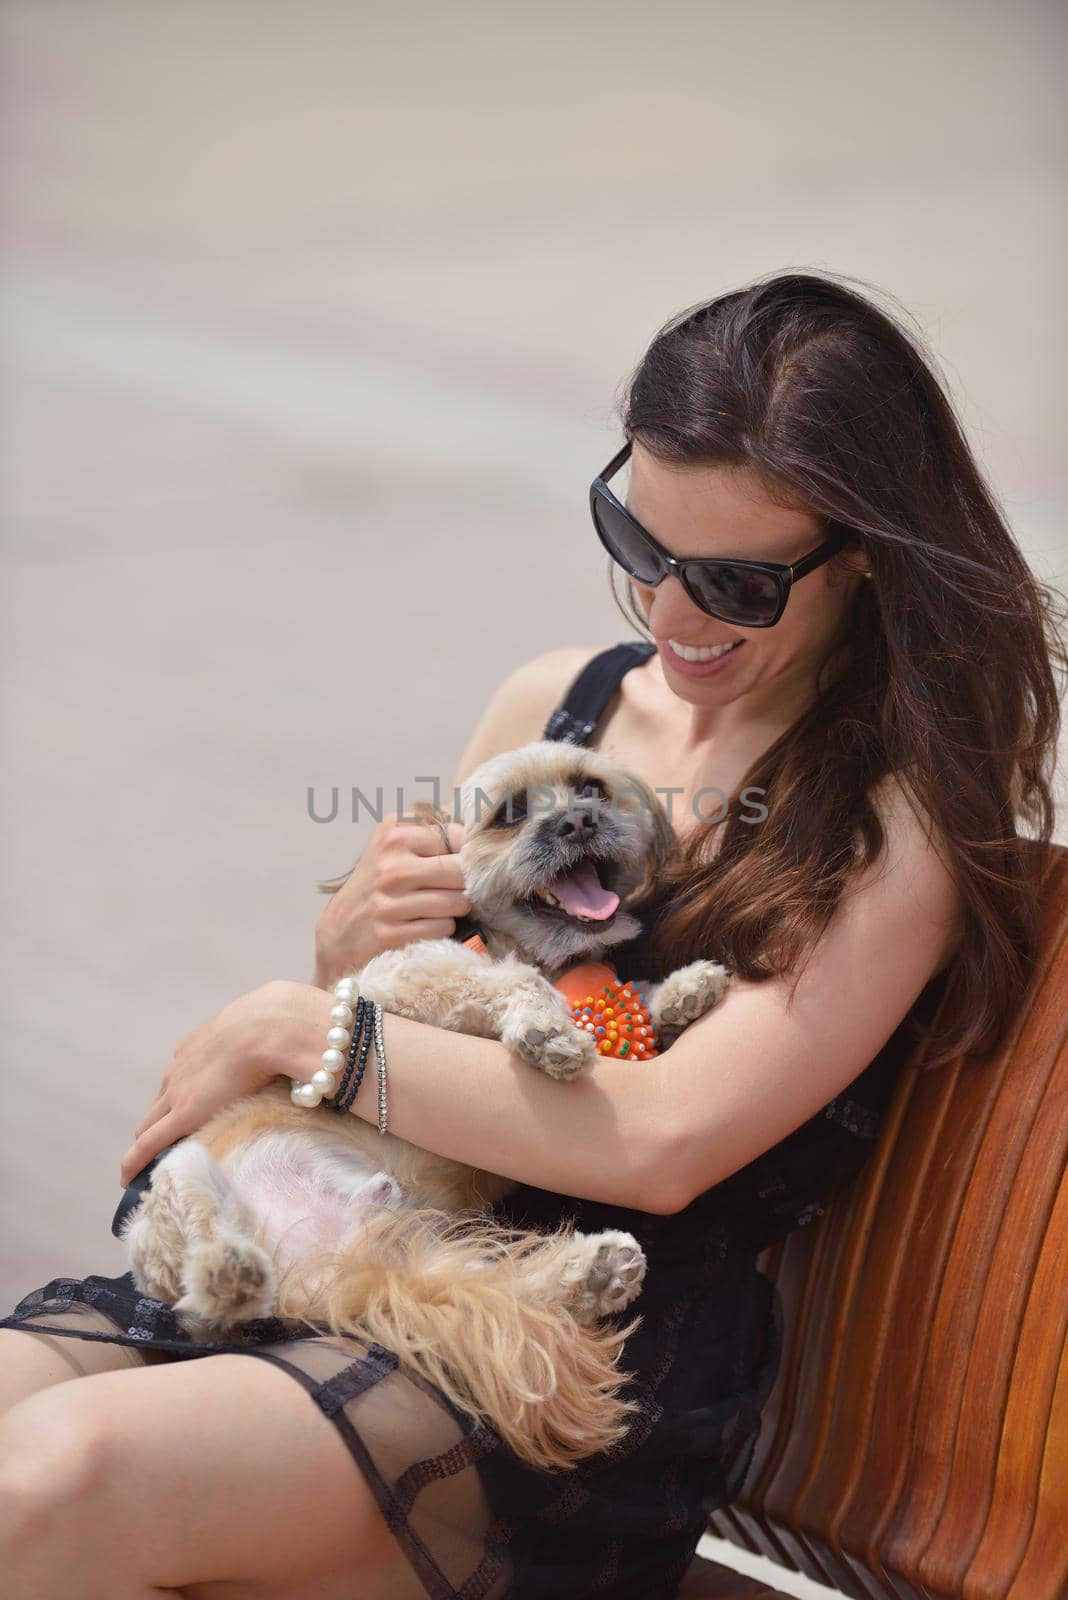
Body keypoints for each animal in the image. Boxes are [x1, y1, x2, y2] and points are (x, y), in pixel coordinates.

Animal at [120, 742, 729, 1465]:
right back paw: (228, 1273)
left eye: (592, 789)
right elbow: (506, 981)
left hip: (429, 1242)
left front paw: (684, 991)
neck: (541, 952)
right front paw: (548, 1032)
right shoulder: (406, 977)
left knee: (507, 1283)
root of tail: (328, 1268)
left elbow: (630, 998)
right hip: (178, 1185)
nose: (579, 822)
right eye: (509, 813)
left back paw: (594, 1272)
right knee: (207, 1293)